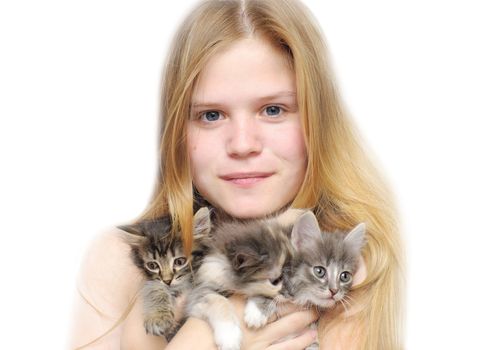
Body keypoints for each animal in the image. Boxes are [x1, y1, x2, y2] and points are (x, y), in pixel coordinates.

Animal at [117, 208, 210, 340]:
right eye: (152, 265)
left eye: (179, 261)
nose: (167, 281)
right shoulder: (151, 281)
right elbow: (156, 288)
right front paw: (157, 318)